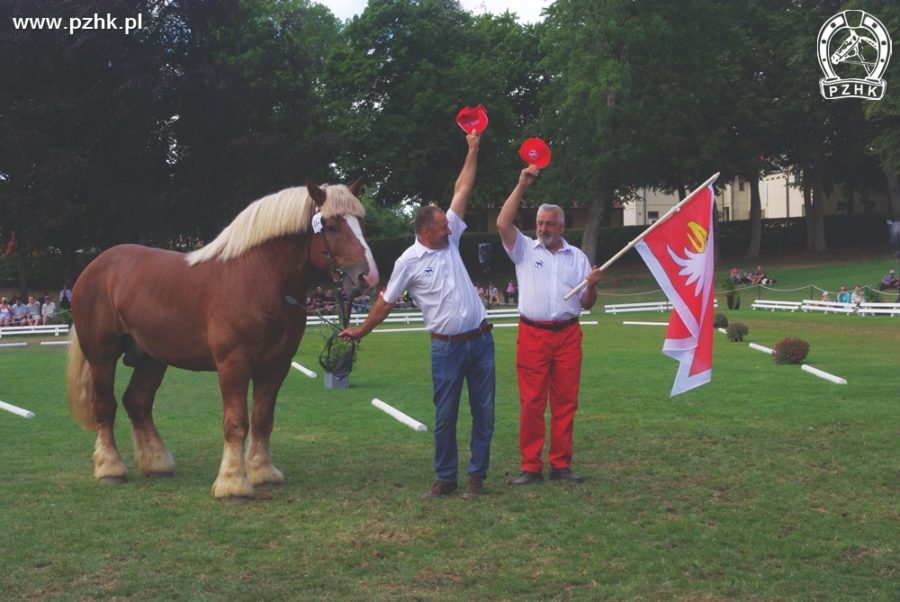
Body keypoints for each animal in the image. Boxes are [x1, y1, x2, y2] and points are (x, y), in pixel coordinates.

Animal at [64, 178, 380, 496]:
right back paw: (110, 468)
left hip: (151, 358)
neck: (259, 277)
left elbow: (263, 419)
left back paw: (157, 464)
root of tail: (94, 267)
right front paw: (233, 483)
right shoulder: (233, 364)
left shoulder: (276, 366)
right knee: (105, 407)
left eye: (361, 222)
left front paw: (263, 472)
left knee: (137, 402)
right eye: (331, 226)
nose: (368, 278)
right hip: (102, 356)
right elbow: (236, 423)